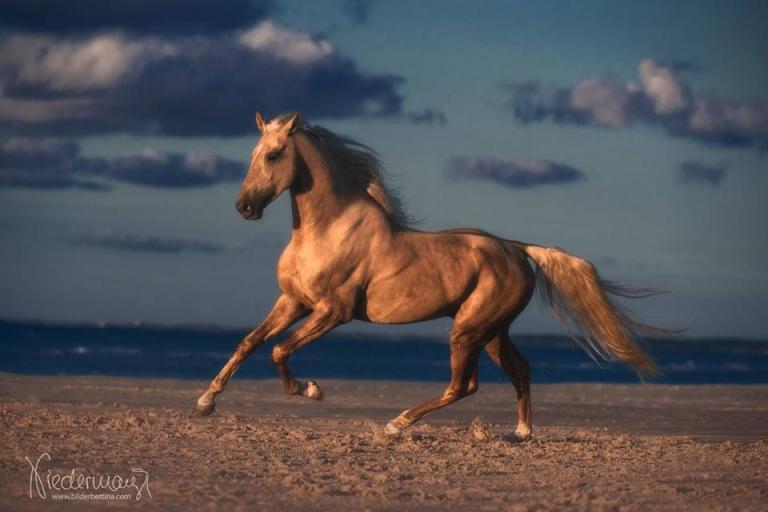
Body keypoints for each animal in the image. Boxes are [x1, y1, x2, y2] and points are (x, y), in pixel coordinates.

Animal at [194, 111, 666, 439]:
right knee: (519, 370)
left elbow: (279, 351)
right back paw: (521, 433)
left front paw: (312, 390)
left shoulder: (333, 312)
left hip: (468, 331)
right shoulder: (293, 302)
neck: (327, 230)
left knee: (463, 386)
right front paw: (204, 402)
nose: (244, 207)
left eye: (274, 154)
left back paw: (397, 424)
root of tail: (516, 249)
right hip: (491, 332)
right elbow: (250, 343)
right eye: (252, 155)